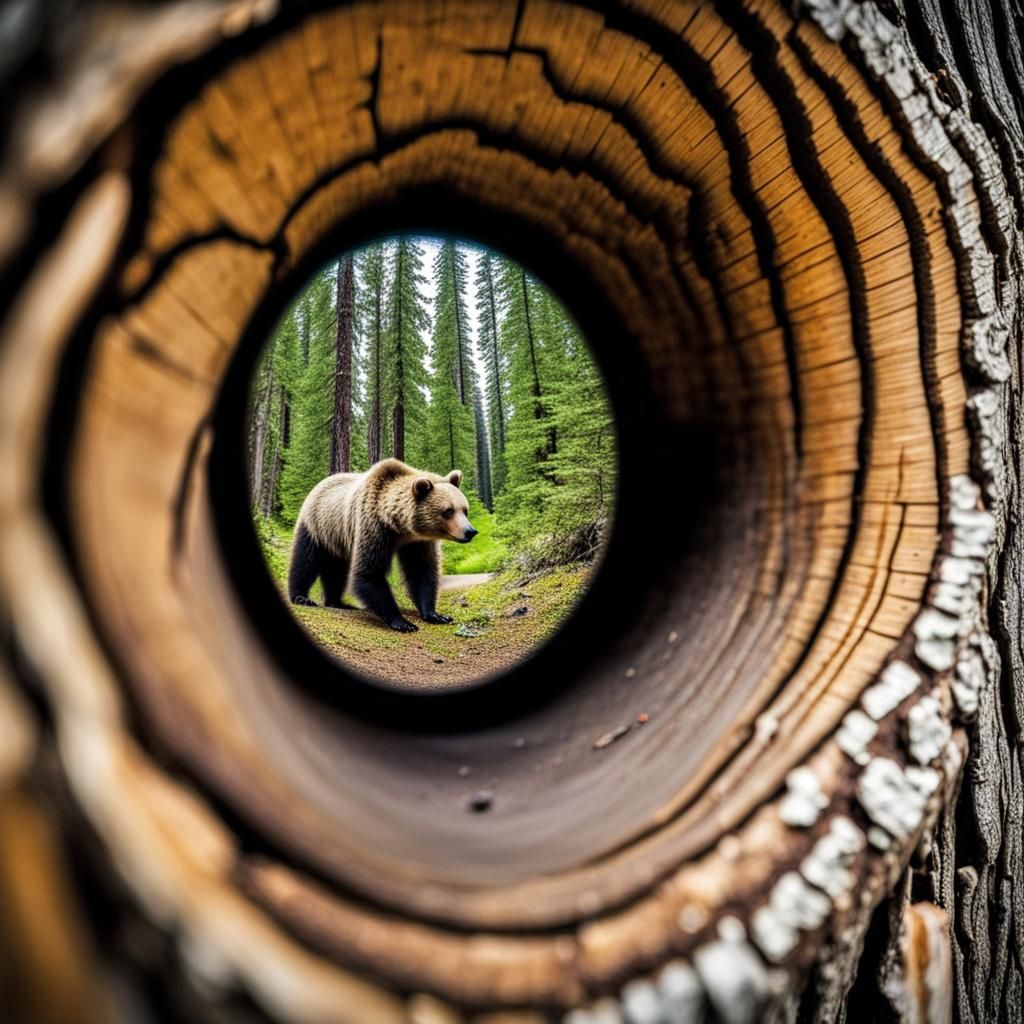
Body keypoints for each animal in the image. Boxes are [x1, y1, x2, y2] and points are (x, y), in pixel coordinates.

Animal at [287, 458, 477, 632]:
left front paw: (436, 614)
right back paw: (301, 597)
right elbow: (369, 573)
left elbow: (421, 570)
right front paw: (403, 622)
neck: (399, 527)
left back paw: (338, 601)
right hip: (316, 524)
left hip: (336, 536)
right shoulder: (373, 526)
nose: (470, 531)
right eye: (448, 511)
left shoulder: (418, 542)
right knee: (305, 560)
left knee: (336, 568)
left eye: (464, 510)